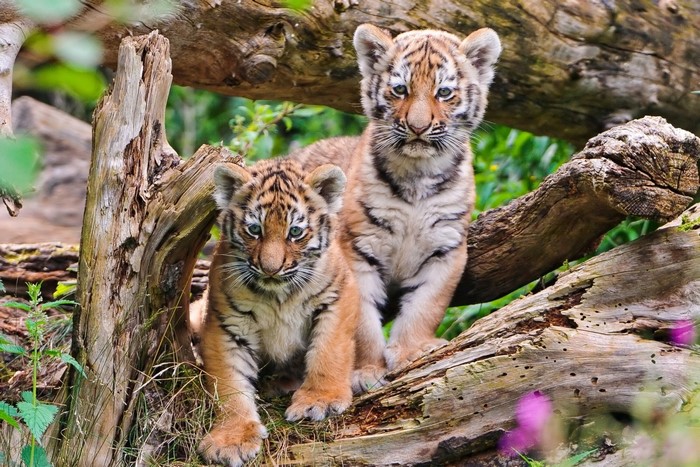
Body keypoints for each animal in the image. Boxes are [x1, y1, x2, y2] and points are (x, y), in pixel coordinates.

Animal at [197, 158, 359, 467]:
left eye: (295, 232)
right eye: (254, 229)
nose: (270, 269)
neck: (278, 295)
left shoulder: (337, 297)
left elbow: (328, 351)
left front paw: (320, 401)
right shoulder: (226, 324)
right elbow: (230, 384)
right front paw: (231, 438)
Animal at [292, 24, 502, 388]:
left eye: (444, 92)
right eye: (400, 89)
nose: (418, 127)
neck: (418, 175)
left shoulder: (446, 249)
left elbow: (425, 306)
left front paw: (411, 351)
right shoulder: (356, 249)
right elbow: (361, 321)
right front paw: (366, 371)